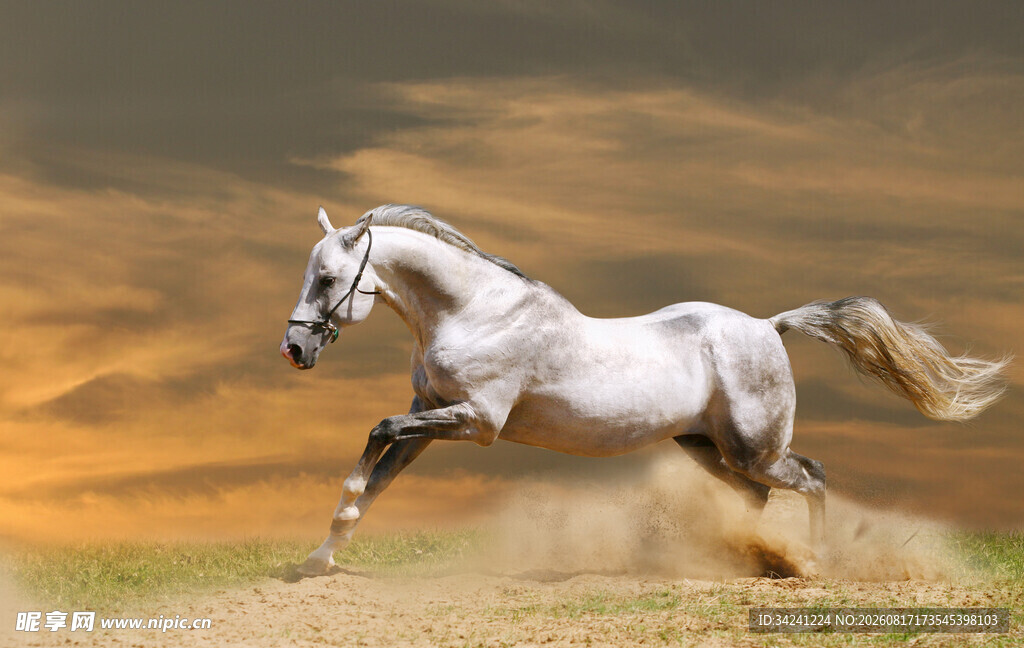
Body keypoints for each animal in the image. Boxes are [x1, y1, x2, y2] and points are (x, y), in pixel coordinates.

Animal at [281, 204, 1008, 576]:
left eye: (328, 278)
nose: (294, 350)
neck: (476, 311)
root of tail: (769, 326)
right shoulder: (431, 411)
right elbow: (379, 476)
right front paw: (319, 557)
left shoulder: (475, 421)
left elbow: (375, 438)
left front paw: (329, 534)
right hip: (705, 447)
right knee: (758, 497)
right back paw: (742, 559)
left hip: (755, 448)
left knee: (812, 476)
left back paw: (815, 562)